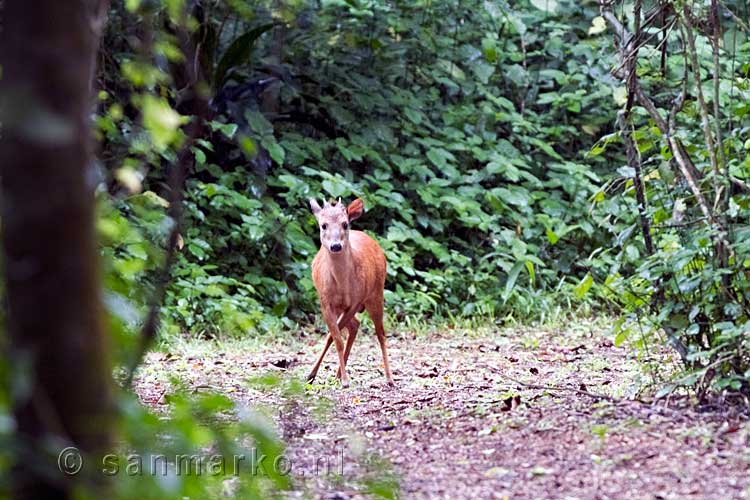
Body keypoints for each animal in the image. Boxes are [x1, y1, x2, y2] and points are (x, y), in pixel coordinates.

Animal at [308, 196, 396, 386]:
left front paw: (344, 379)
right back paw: (336, 374)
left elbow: (333, 337)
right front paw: (313, 374)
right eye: (323, 225)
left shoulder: (355, 301)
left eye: (345, 223)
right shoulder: (325, 302)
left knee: (380, 333)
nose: (335, 246)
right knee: (355, 325)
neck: (341, 285)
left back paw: (389, 377)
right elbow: (335, 338)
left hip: (376, 293)